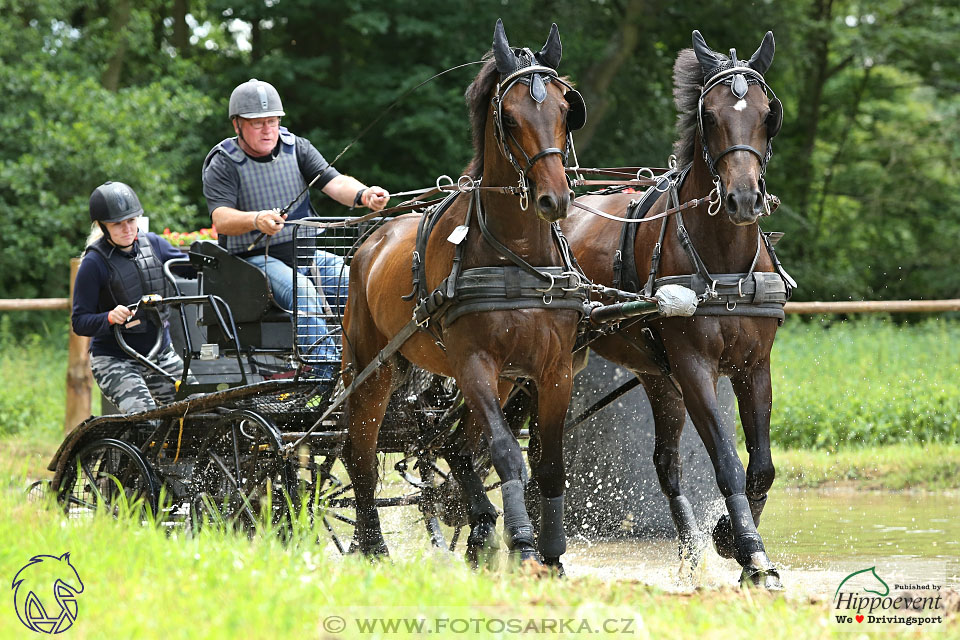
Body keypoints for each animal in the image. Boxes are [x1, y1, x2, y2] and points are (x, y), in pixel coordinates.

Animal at [342, 21, 588, 568]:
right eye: (510, 117)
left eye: (566, 111)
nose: (554, 199)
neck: (517, 255)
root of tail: (371, 239)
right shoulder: (474, 363)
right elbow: (507, 452)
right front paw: (523, 544)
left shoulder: (554, 370)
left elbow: (550, 465)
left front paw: (552, 553)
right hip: (372, 370)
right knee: (359, 456)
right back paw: (373, 547)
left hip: (502, 380)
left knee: (452, 448)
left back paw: (477, 528)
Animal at [564, 31, 788, 592]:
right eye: (708, 114)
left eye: (767, 114)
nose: (743, 199)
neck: (723, 261)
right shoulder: (695, 367)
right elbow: (727, 462)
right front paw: (752, 554)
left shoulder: (754, 367)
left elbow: (761, 466)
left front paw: (729, 538)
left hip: (657, 378)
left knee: (666, 465)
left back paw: (689, 559)